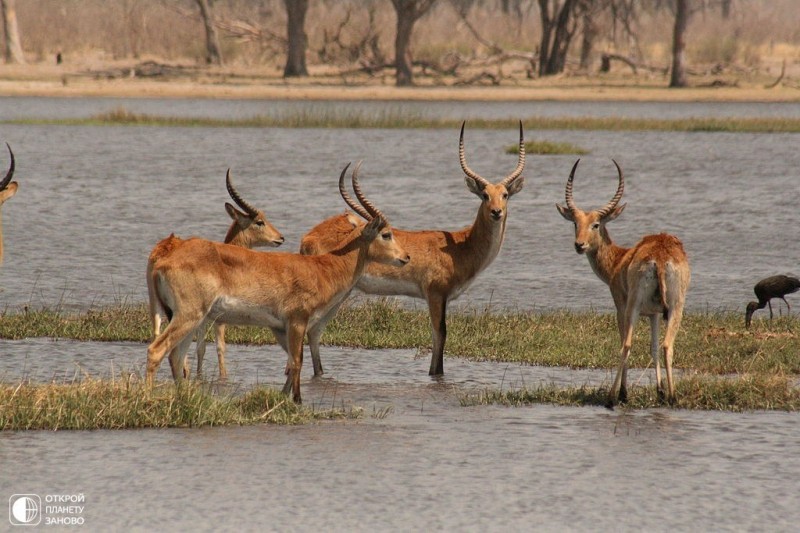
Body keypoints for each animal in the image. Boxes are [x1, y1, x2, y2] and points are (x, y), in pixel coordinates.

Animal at [145, 167, 286, 378]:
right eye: (259, 221)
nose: (280, 238)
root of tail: (161, 253)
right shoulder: (217, 319)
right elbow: (216, 346)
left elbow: (200, 346)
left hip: (158, 305)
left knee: (158, 333)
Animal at [300, 122, 524, 376]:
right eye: (485, 195)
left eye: (505, 195)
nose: (497, 212)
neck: (460, 246)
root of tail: (308, 237)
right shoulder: (435, 294)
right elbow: (440, 334)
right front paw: (435, 374)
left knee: (315, 331)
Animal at [552, 159, 692, 408]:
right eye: (575, 223)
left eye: (596, 224)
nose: (579, 245)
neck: (620, 258)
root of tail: (661, 258)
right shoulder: (655, 314)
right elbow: (653, 348)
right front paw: (659, 392)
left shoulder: (621, 306)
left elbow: (625, 343)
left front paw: (624, 393)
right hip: (676, 307)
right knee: (667, 345)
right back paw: (672, 397)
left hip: (633, 307)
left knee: (626, 344)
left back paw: (612, 398)